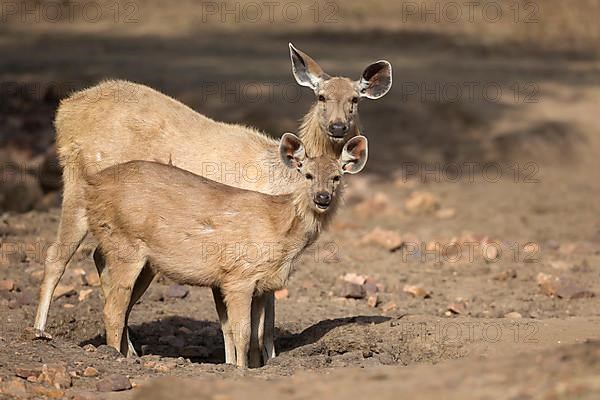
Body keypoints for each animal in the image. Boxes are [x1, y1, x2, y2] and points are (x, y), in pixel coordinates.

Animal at [83, 133, 366, 368]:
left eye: (337, 176)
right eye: (307, 174)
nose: (322, 197)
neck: (280, 229)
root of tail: (92, 185)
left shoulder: (262, 283)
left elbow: (257, 332)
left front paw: (254, 366)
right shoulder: (239, 277)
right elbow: (242, 333)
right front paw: (240, 370)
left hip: (142, 260)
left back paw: (129, 354)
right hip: (125, 243)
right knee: (113, 308)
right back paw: (116, 357)